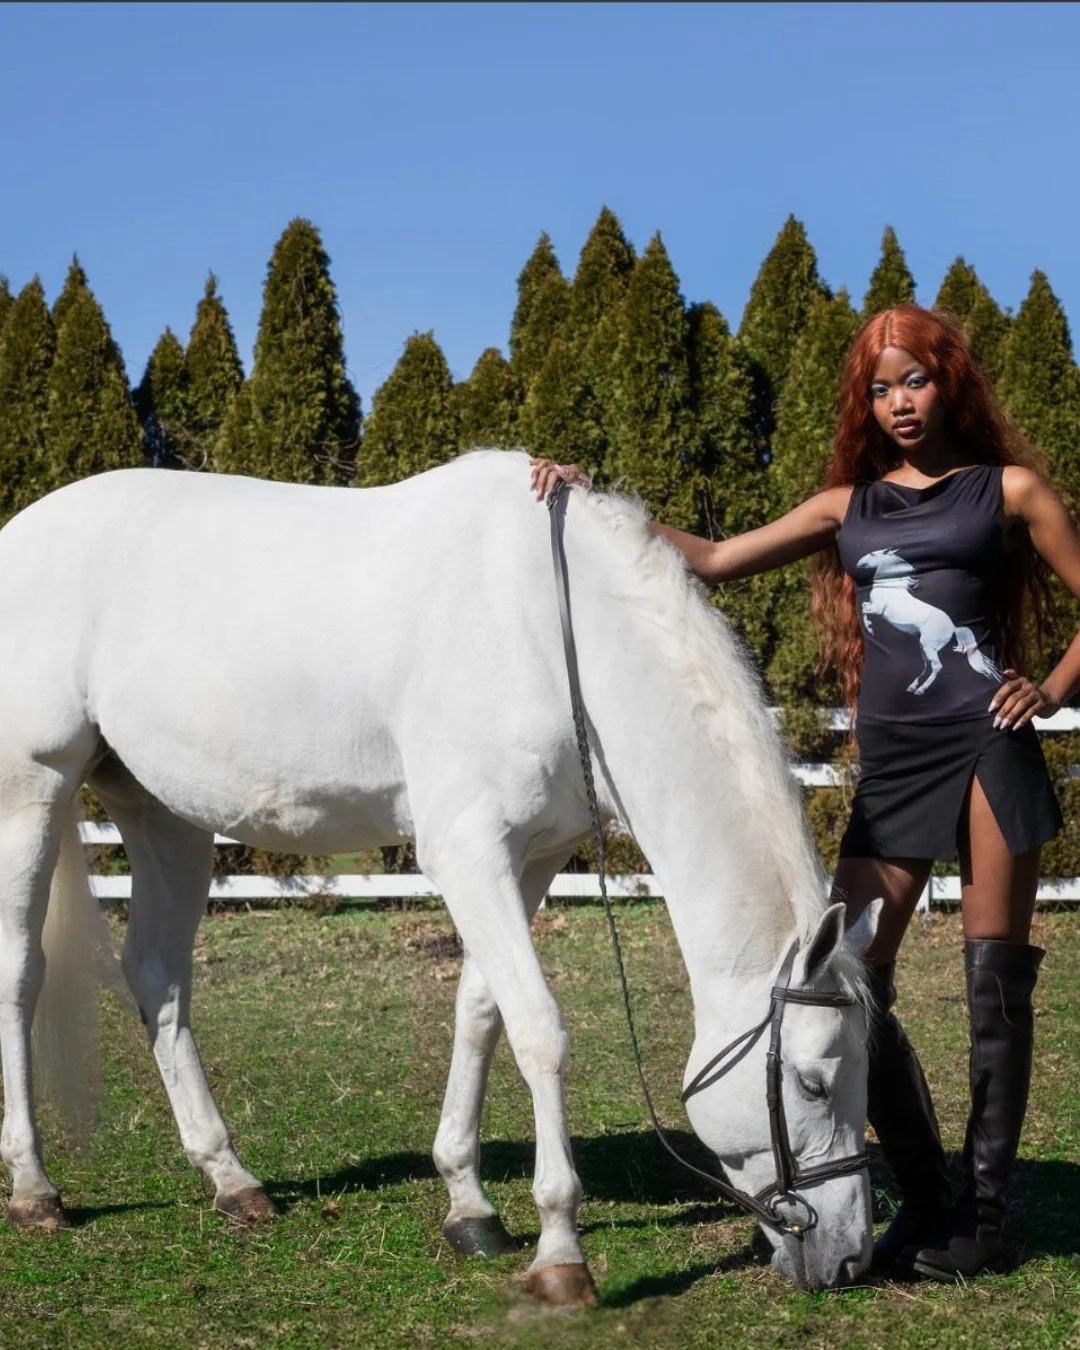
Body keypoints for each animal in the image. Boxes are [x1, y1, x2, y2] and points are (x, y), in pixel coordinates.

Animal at [0, 450, 880, 1304]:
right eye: (811, 1083)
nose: (849, 1257)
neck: (549, 628)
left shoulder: (531, 856)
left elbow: (482, 1010)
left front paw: (470, 1206)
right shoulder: (467, 850)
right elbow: (540, 1030)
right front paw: (560, 1252)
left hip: (163, 813)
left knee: (158, 975)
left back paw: (231, 1180)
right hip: (33, 787)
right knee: (21, 973)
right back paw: (36, 1190)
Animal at [856, 547, 1003, 695]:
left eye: (872, 554)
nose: (858, 563)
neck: (889, 587)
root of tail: (953, 627)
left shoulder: (878, 609)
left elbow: (864, 609)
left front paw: (869, 628)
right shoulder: (874, 606)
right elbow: (864, 606)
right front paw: (869, 627)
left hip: (928, 646)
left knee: (937, 667)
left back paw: (921, 689)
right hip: (924, 647)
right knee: (927, 666)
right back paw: (912, 686)